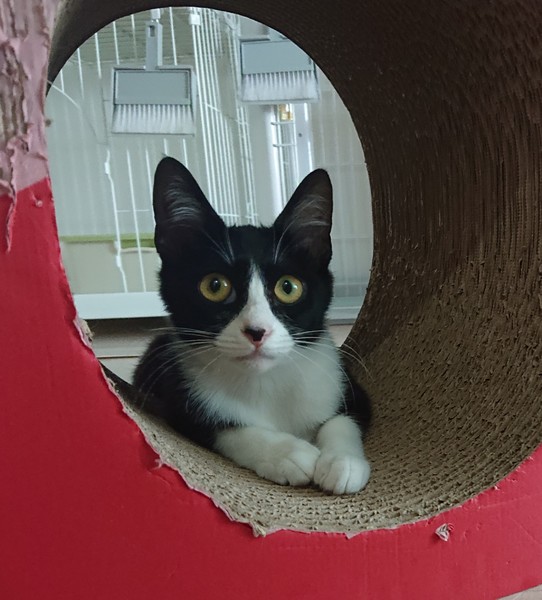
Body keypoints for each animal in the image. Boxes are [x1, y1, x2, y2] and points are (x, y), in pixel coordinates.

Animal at [134, 156, 372, 495]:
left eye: (288, 287)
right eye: (214, 286)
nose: (257, 331)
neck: (266, 382)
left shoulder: (343, 380)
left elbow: (345, 419)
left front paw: (342, 463)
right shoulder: (179, 401)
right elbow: (227, 430)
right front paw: (288, 453)